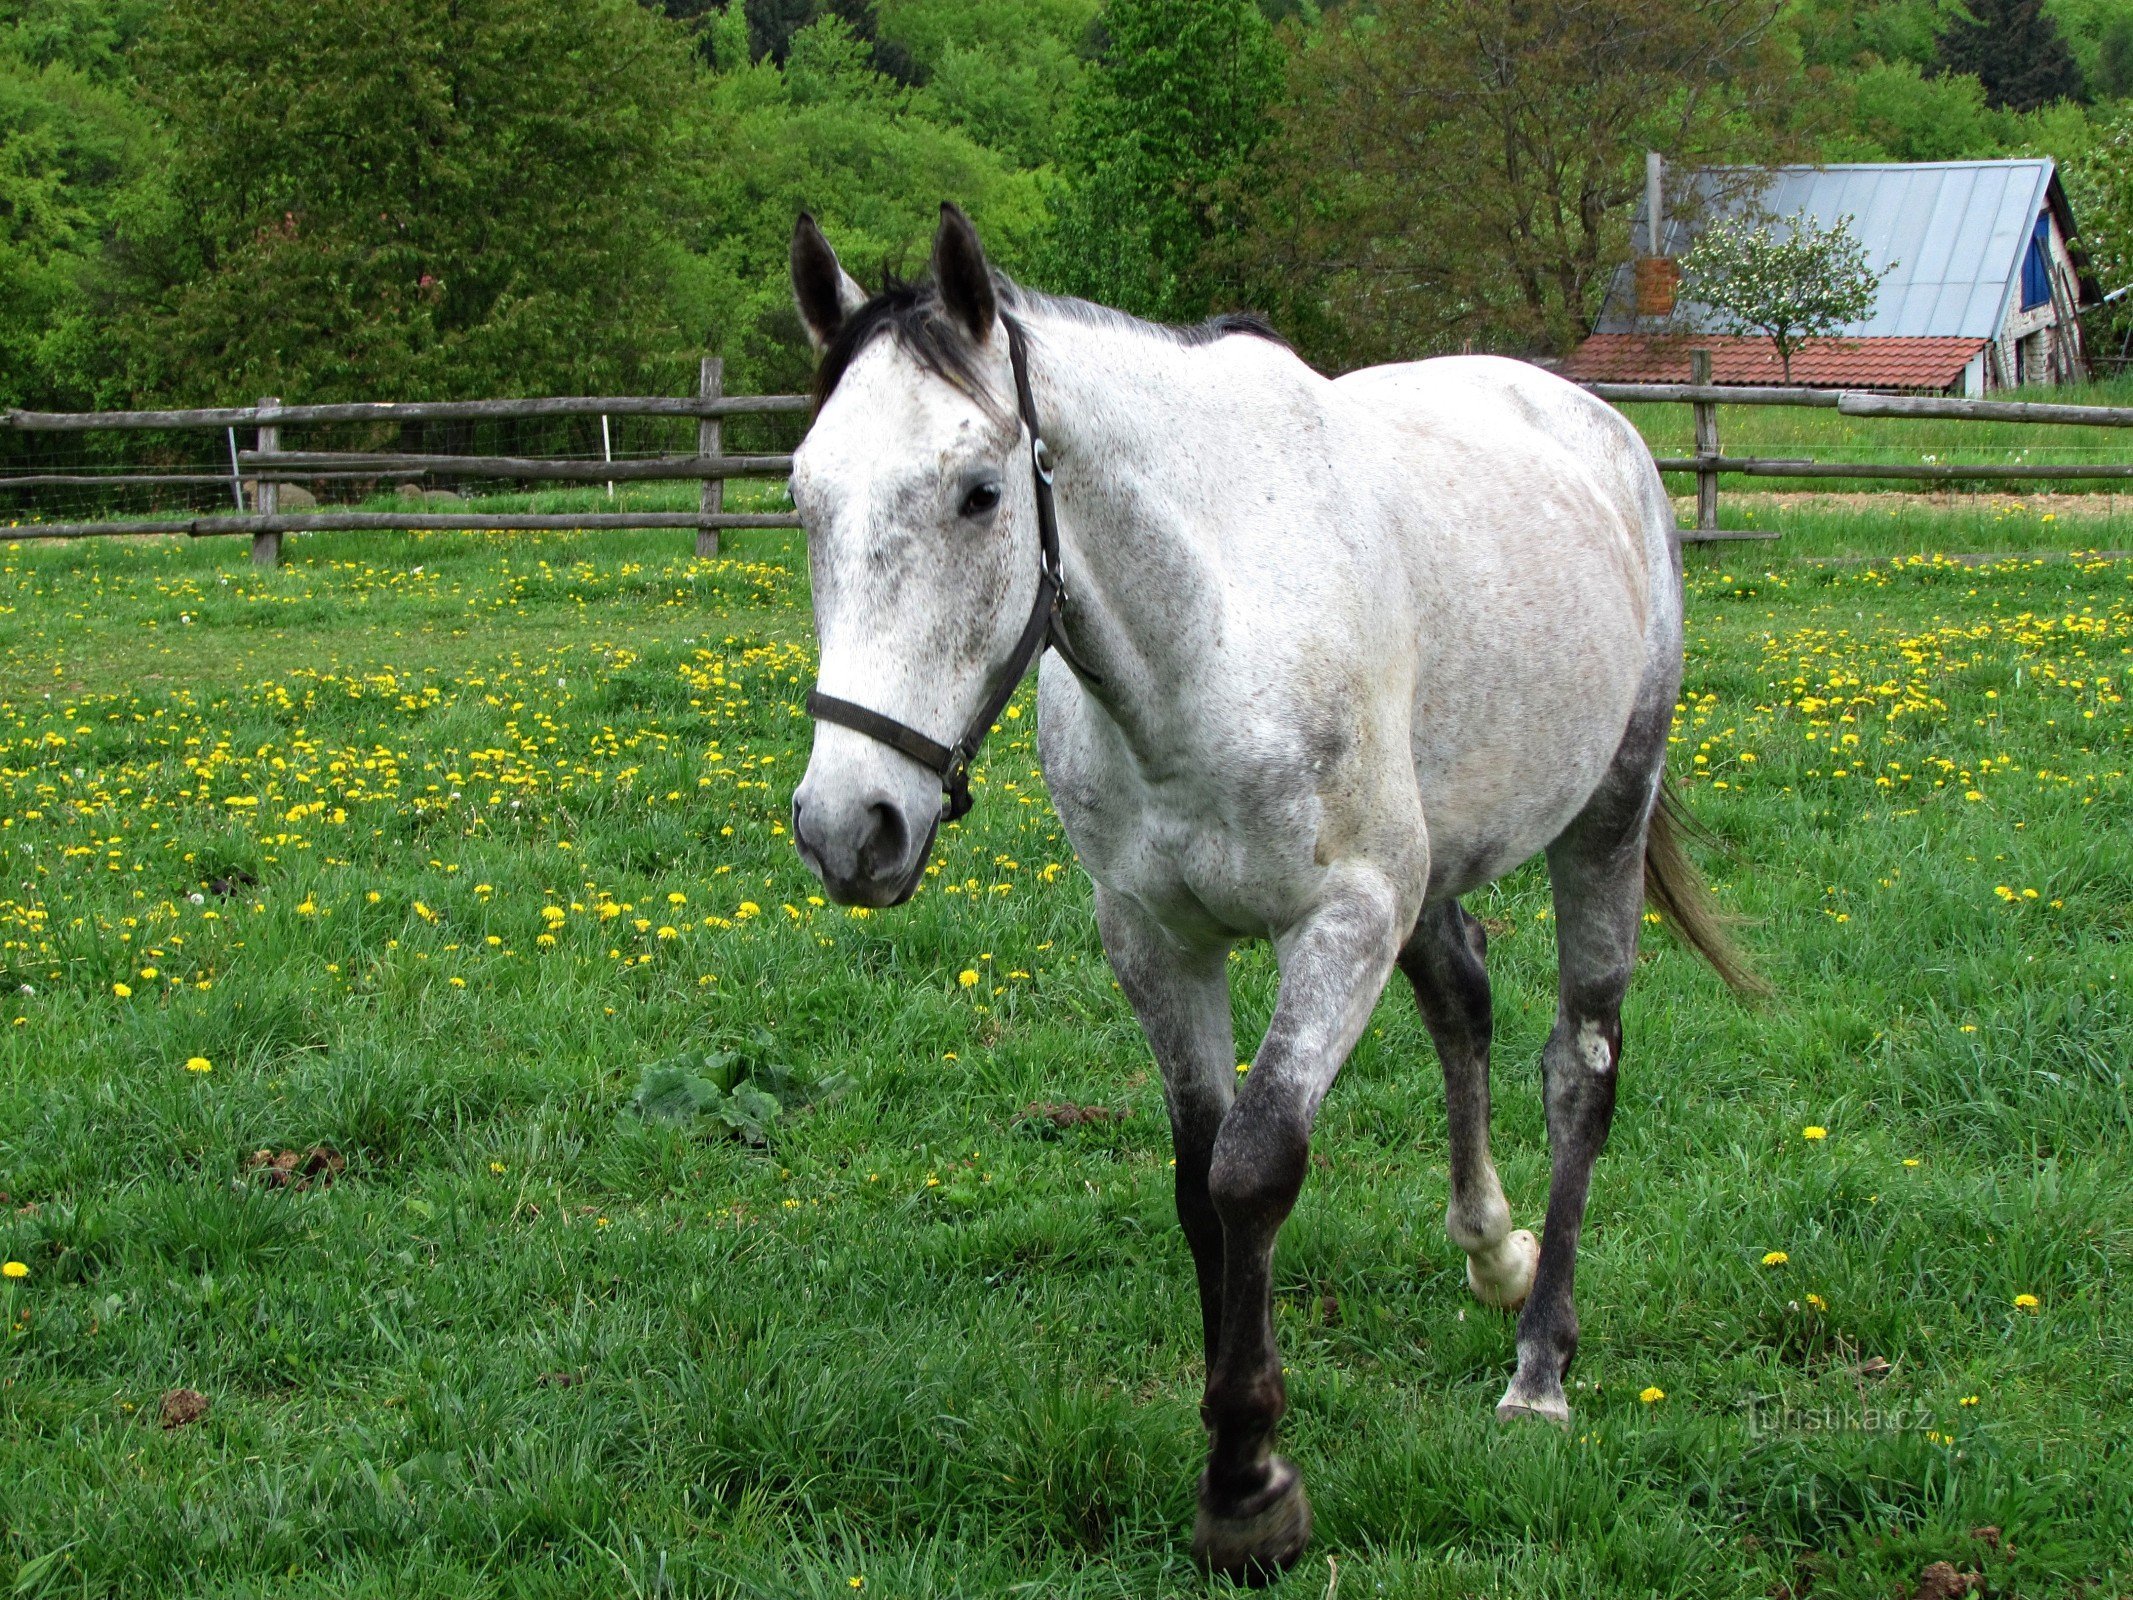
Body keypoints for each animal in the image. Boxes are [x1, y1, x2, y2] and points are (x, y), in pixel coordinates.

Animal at [784, 206, 1749, 1587]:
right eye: (803, 497)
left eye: (978, 494)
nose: (845, 826)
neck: (1211, 632)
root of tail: (1596, 428)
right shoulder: (1155, 940)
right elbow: (1200, 1181)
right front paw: (1235, 1430)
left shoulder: (1342, 923)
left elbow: (1254, 1167)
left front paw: (1249, 1485)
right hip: (1437, 867)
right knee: (1462, 997)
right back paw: (1493, 1251)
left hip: (1605, 820)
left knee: (1581, 1066)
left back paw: (1540, 1367)